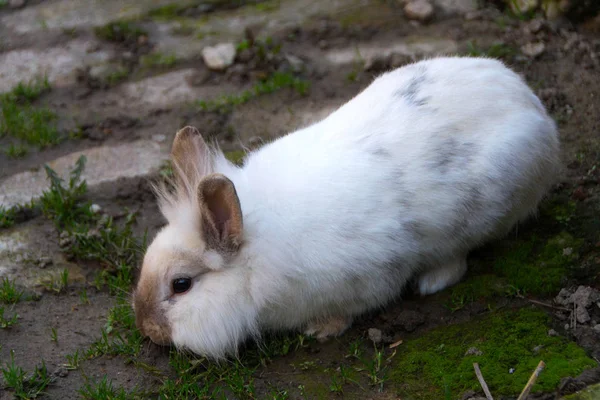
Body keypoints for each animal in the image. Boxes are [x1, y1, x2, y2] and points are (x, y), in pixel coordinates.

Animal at [131, 55, 564, 360]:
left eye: (181, 285)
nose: (147, 328)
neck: (255, 258)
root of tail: (534, 107)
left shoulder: (372, 274)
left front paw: (322, 328)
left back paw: (431, 281)